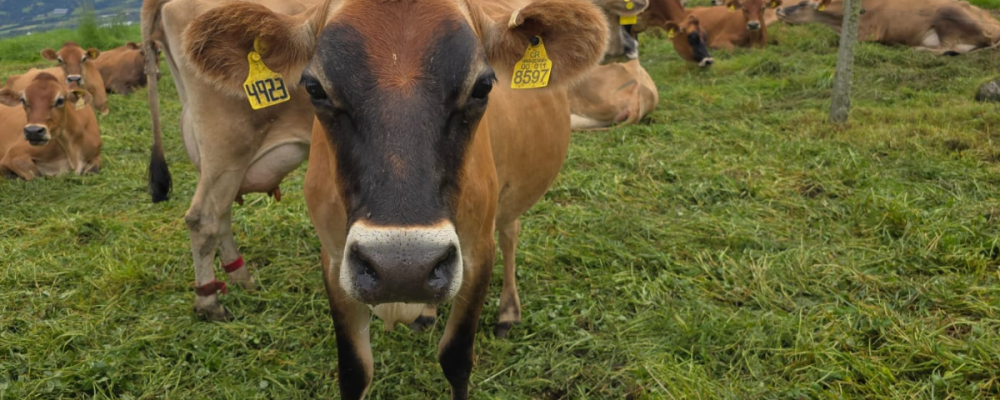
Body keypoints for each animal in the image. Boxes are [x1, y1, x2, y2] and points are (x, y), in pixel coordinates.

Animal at [142, 0, 608, 397]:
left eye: (482, 86)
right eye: (314, 87)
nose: (403, 267)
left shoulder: (477, 251)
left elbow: (457, 360)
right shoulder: (336, 259)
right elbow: (354, 369)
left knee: (510, 229)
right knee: (207, 215)